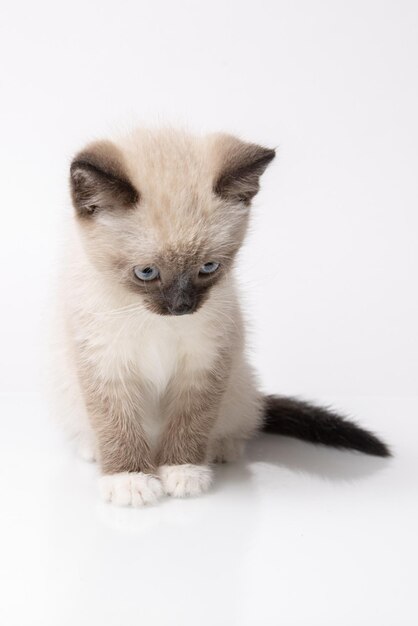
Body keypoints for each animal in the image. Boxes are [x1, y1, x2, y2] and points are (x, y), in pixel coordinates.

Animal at [54, 129, 390, 504]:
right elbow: (117, 425)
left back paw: (220, 449)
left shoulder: (205, 363)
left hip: (239, 382)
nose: (182, 306)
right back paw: (93, 449)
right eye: (146, 272)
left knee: (243, 422)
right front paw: (130, 479)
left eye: (208, 267)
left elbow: (192, 421)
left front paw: (183, 471)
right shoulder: (106, 365)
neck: (154, 319)